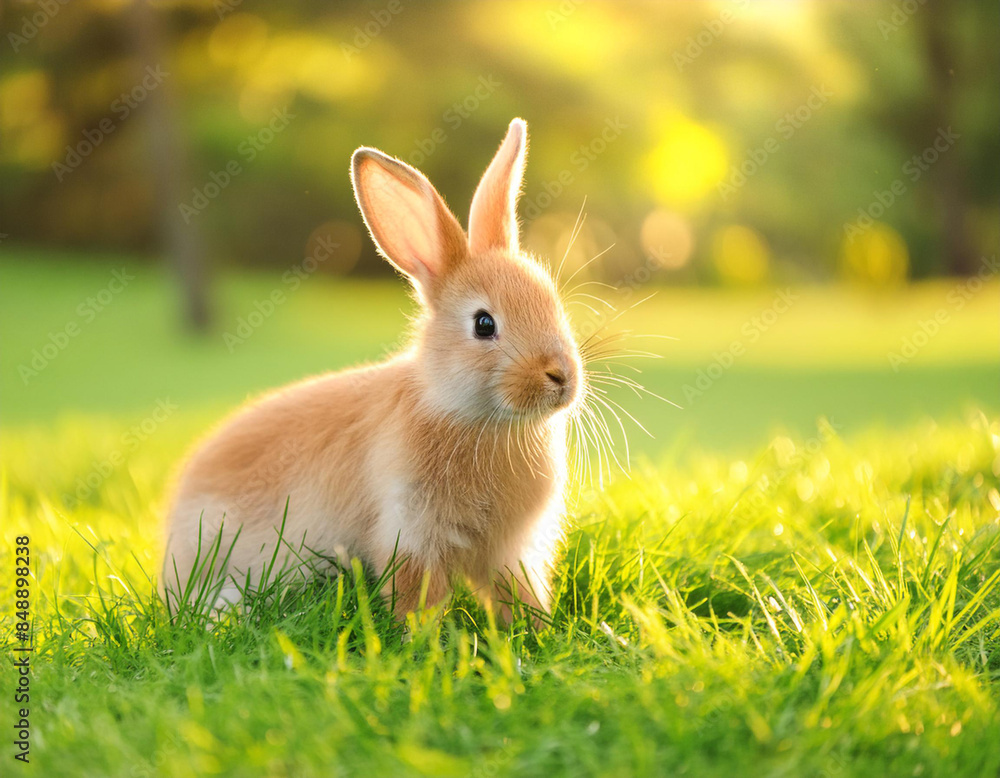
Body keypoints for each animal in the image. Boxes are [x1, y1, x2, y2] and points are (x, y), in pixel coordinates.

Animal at [161, 118, 583, 623]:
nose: (562, 377)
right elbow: (416, 595)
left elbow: (519, 593)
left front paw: (534, 631)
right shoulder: (410, 526)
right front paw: (424, 638)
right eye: (484, 324)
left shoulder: (509, 551)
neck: (476, 418)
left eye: (553, 303)